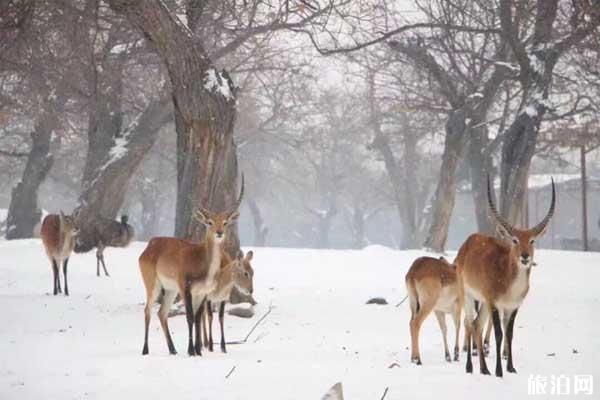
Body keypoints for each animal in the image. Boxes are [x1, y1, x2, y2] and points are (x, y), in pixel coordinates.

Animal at [138, 178, 244, 356]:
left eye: (225, 222)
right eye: (209, 222)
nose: (219, 232)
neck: (203, 262)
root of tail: (150, 245)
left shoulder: (201, 292)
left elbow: (197, 316)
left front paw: (198, 351)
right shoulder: (185, 288)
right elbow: (189, 317)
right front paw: (190, 351)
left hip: (170, 290)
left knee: (162, 313)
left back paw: (173, 350)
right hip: (153, 284)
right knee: (147, 311)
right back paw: (145, 350)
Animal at [458, 177, 556, 376]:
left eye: (532, 240)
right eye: (515, 240)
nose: (525, 256)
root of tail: (468, 243)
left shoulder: (513, 306)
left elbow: (509, 334)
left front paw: (511, 368)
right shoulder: (495, 303)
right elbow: (498, 333)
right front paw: (499, 371)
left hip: (483, 303)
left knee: (477, 324)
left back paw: (484, 369)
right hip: (469, 297)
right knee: (469, 323)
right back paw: (470, 367)